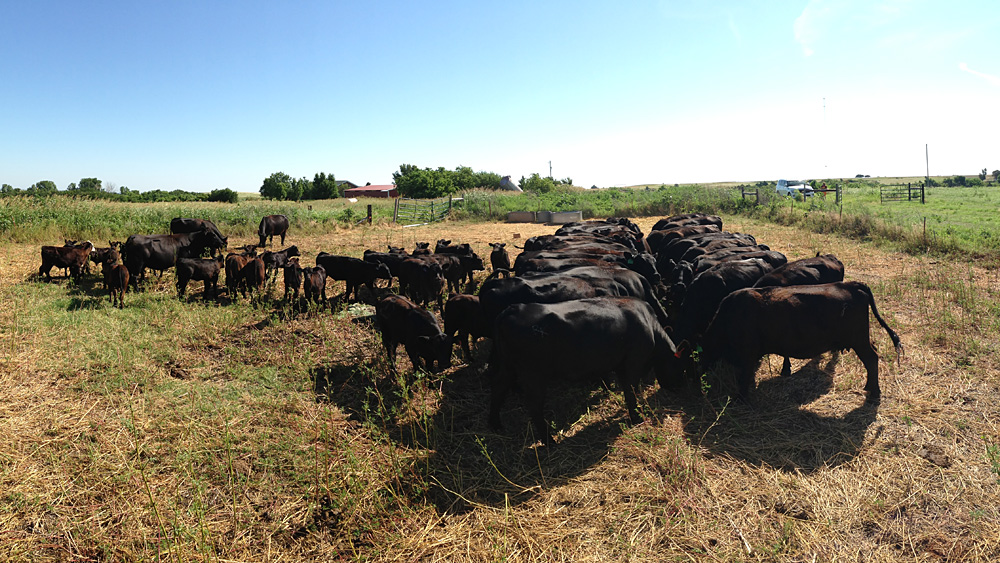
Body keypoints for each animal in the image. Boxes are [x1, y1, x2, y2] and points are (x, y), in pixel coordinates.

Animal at [489, 297, 681, 444]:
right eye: (680, 367)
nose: (678, 387)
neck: (648, 323)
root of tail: (512, 309)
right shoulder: (633, 364)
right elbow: (631, 392)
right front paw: (637, 418)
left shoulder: (621, 366)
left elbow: (627, 393)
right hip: (534, 375)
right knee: (534, 406)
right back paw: (549, 441)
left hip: (508, 367)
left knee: (498, 389)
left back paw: (496, 425)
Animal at [686, 281, 903, 404]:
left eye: (694, 356)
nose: (692, 379)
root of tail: (852, 284)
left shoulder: (747, 354)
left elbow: (744, 377)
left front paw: (741, 398)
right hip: (861, 339)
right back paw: (869, 387)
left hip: (858, 339)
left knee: (872, 359)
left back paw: (874, 394)